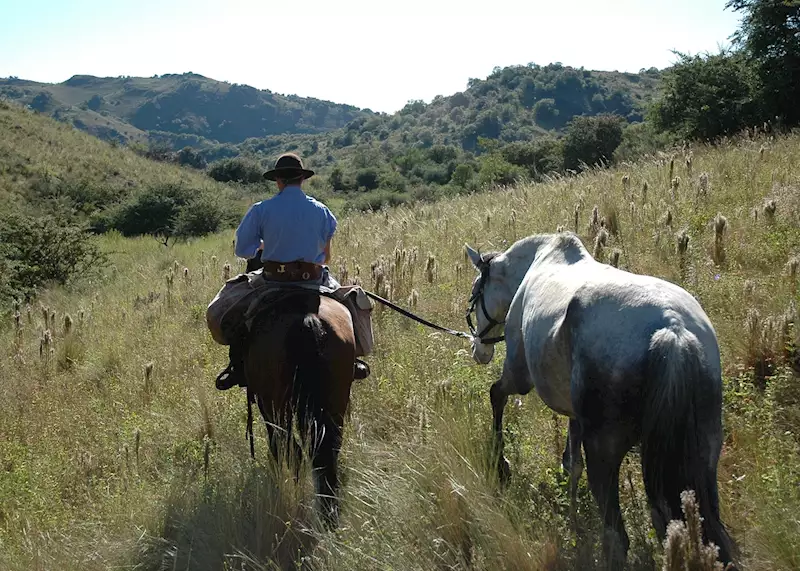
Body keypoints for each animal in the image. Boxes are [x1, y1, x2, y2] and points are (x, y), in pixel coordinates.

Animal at [244, 288, 356, 528]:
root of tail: (308, 320)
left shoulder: (267, 406)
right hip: (336, 401)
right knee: (327, 451)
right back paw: (329, 515)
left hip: (275, 404)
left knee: (289, 447)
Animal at [462, 232, 736, 571]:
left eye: (476, 292)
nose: (479, 350)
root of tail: (673, 330)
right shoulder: (574, 414)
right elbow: (571, 464)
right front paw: (572, 518)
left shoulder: (519, 376)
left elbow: (496, 395)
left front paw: (501, 464)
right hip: (704, 455)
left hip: (603, 452)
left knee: (617, 537)